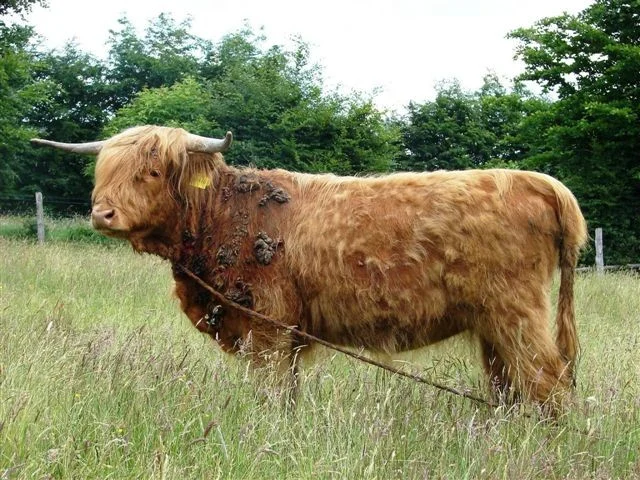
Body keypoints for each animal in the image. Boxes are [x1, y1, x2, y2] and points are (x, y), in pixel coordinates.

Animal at [32, 125, 587, 409]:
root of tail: (540, 182)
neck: (224, 216)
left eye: (149, 172)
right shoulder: (288, 333)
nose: (101, 213)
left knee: (548, 382)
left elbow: (273, 392)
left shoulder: (267, 328)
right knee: (510, 387)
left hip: (517, 315)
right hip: (493, 326)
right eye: (104, 170)